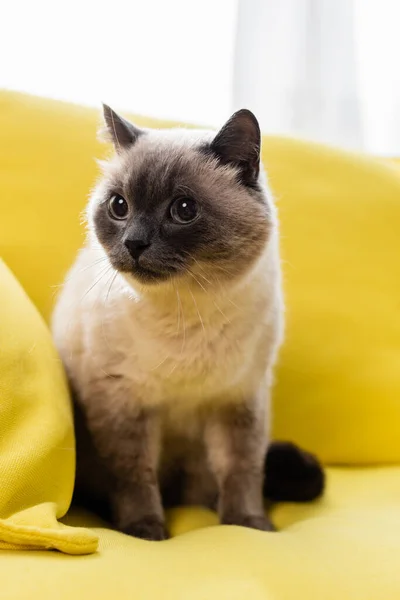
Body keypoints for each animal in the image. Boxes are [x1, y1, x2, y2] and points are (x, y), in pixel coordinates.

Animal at [51, 105, 324, 540]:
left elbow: (242, 470)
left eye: (183, 210)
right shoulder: (120, 405)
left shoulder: (238, 402)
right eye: (119, 206)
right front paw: (145, 531)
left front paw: (248, 525)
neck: (184, 312)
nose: (134, 244)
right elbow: (134, 476)